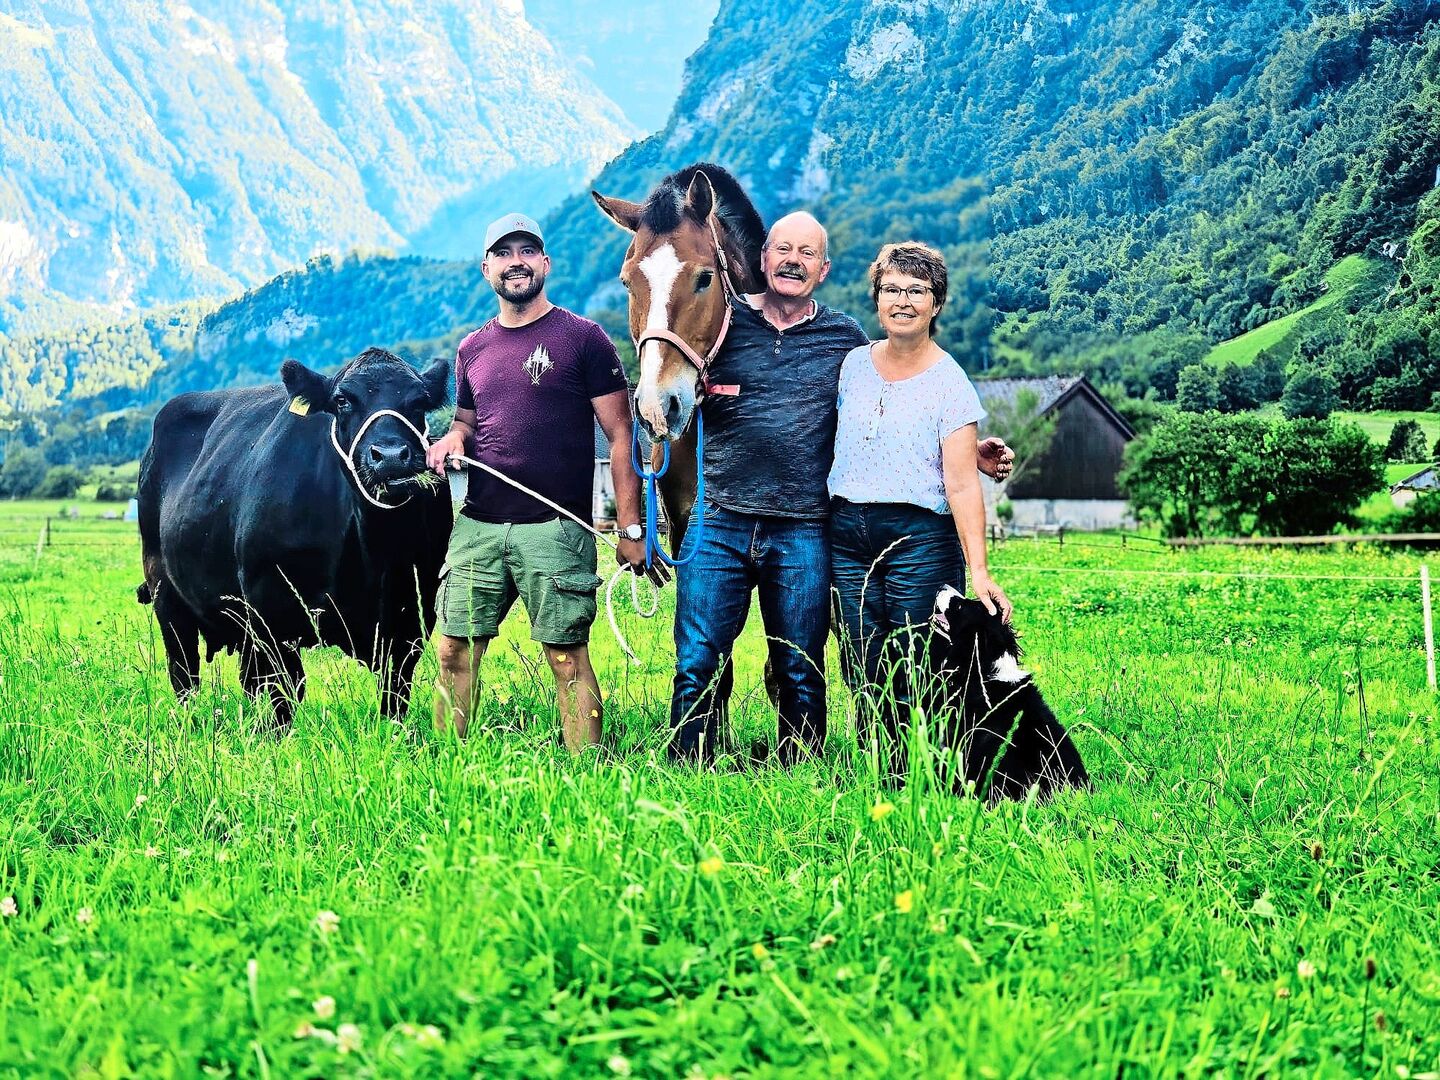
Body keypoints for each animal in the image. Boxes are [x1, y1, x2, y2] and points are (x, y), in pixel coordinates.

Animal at [137, 347, 453, 731]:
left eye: (419, 401)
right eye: (343, 400)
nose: (390, 456)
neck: (371, 552)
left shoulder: (411, 616)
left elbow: (395, 691)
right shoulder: (271, 605)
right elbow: (286, 690)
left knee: (246, 678)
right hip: (165, 592)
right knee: (184, 671)